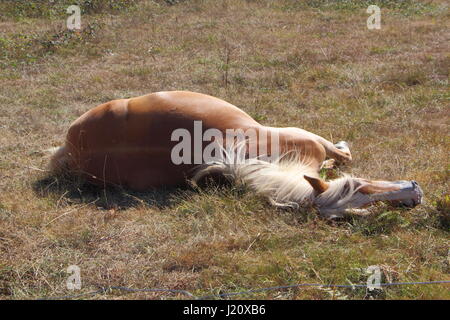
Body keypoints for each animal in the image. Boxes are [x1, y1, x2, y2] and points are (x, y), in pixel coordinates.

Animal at [51, 91, 424, 219]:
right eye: (357, 190)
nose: (415, 196)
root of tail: (71, 150)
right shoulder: (313, 140)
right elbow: (344, 154)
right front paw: (340, 154)